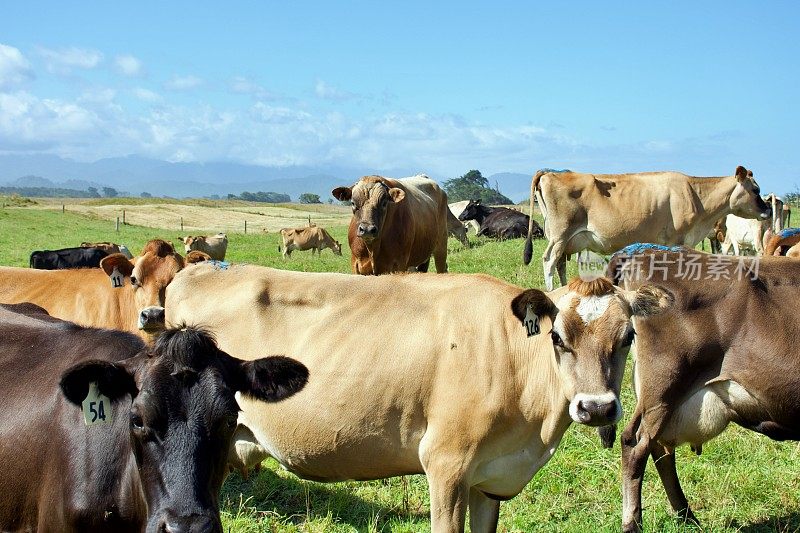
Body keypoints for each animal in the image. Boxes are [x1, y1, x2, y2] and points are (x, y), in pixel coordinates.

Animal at [166, 266, 672, 532]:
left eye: (628, 337)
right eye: (558, 338)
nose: (597, 407)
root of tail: (195, 268)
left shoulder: (490, 479)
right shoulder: (446, 464)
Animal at [520, 166, 772, 290]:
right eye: (756, 189)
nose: (768, 209)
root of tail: (551, 173)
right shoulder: (677, 239)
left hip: (562, 239)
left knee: (560, 264)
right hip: (560, 235)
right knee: (549, 261)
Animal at [608, 247, 800, 528]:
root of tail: (642, 249)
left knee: (659, 449)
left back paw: (686, 515)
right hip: (663, 384)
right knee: (635, 445)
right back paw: (633, 523)